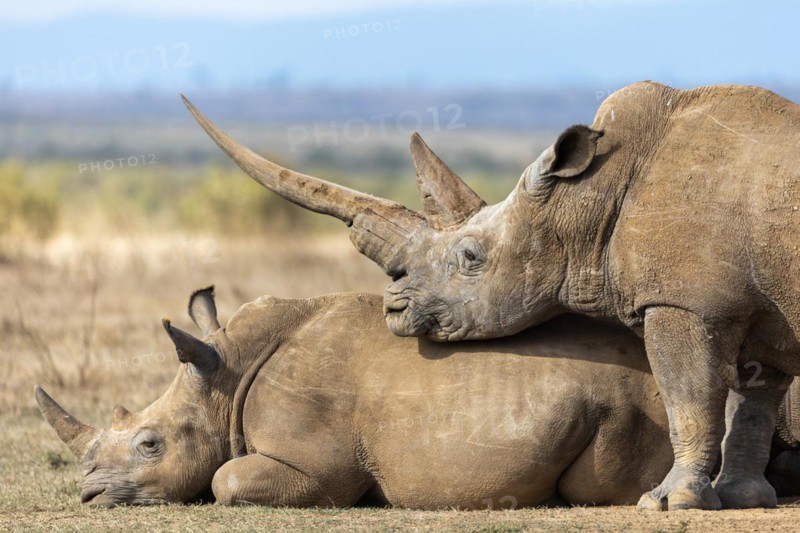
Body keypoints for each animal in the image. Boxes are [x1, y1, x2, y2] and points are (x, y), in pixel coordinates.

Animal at [181, 83, 800, 510]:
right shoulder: (756, 310)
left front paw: (670, 503)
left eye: (471, 257)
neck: (585, 200)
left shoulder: (682, 304)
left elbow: (688, 396)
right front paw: (743, 498)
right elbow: (752, 400)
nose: (393, 309)